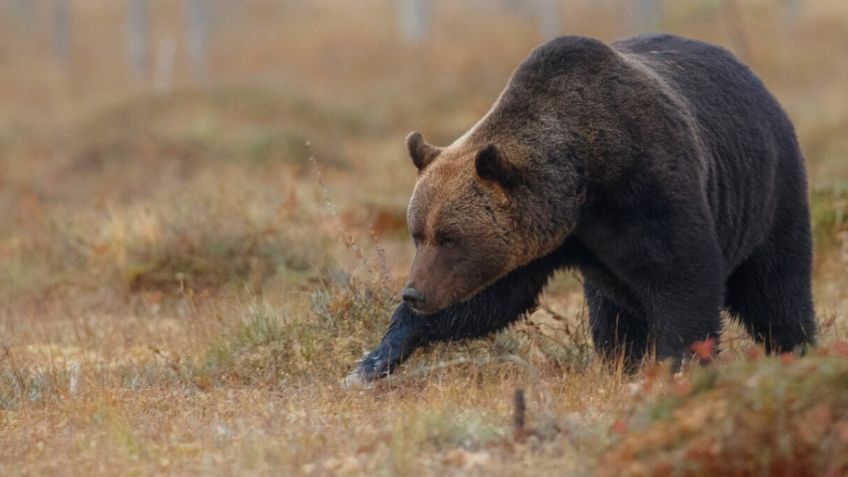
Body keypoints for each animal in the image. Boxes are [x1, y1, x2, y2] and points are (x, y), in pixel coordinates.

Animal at [344, 33, 816, 384]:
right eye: (417, 233)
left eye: (450, 237)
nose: (414, 292)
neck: (583, 186)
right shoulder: (541, 240)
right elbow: (489, 301)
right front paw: (373, 359)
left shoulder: (649, 187)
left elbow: (684, 279)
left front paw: (679, 366)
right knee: (611, 311)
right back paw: (618, 361)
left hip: (770, 192)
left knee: (777, 288)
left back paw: (798, 349)